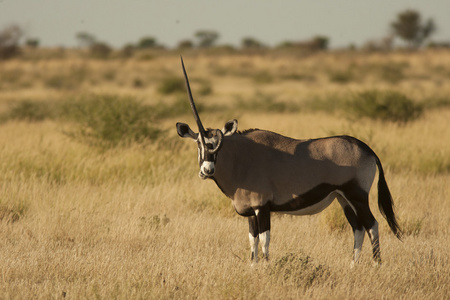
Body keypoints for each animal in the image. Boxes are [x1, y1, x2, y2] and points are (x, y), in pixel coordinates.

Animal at [176, 56, 400, 264]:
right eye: (199, 143)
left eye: (218, 146)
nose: (207, 170)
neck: (241, 160)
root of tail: (367, 149)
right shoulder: (250, 212)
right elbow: (252, 241)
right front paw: (253, 267)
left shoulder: (262, 207)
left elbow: (264, 240)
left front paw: (267, 268)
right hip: (343, 198)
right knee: (358, 228)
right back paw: (353, 266)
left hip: (357, 195)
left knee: (372, 225)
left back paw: (376, 265)